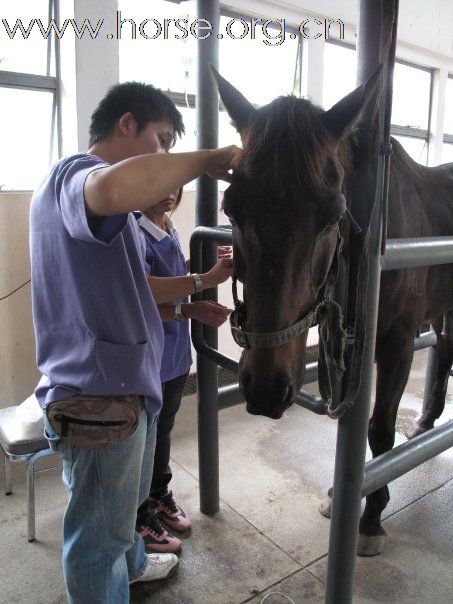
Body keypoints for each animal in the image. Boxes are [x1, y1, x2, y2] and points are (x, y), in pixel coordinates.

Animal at [212, 67, 452, 556]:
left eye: (332, 214)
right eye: (231, 209)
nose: (266, 390)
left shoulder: (397, 344)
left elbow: (379, 431)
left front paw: (372, 516)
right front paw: (341, 495)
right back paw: (423, 422)